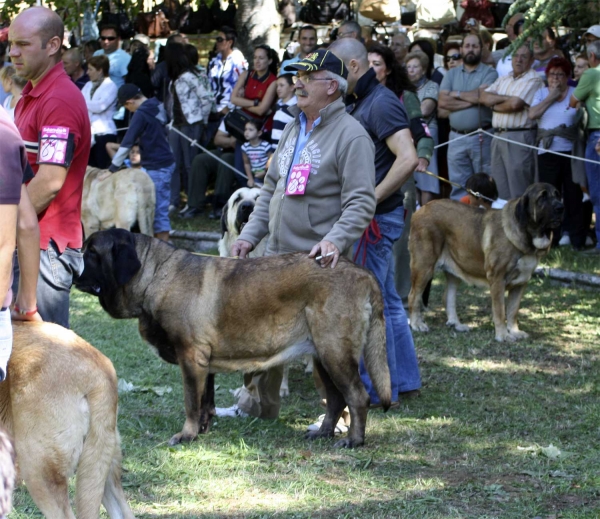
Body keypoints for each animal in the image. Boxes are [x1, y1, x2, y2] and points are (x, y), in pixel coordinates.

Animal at [75, 230, 392, 448]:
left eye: (91, 252)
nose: (74, 269)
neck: (154, 275)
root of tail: (364, 273)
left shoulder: (190, 358)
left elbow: (191, 401)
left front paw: (186, 434)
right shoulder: (203, 363)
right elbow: (205, 401)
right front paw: (202, 430)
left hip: (335, 352)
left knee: (357, 397)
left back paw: (354, 440)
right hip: (323, 356)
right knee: (337, 399)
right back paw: (323, 432)